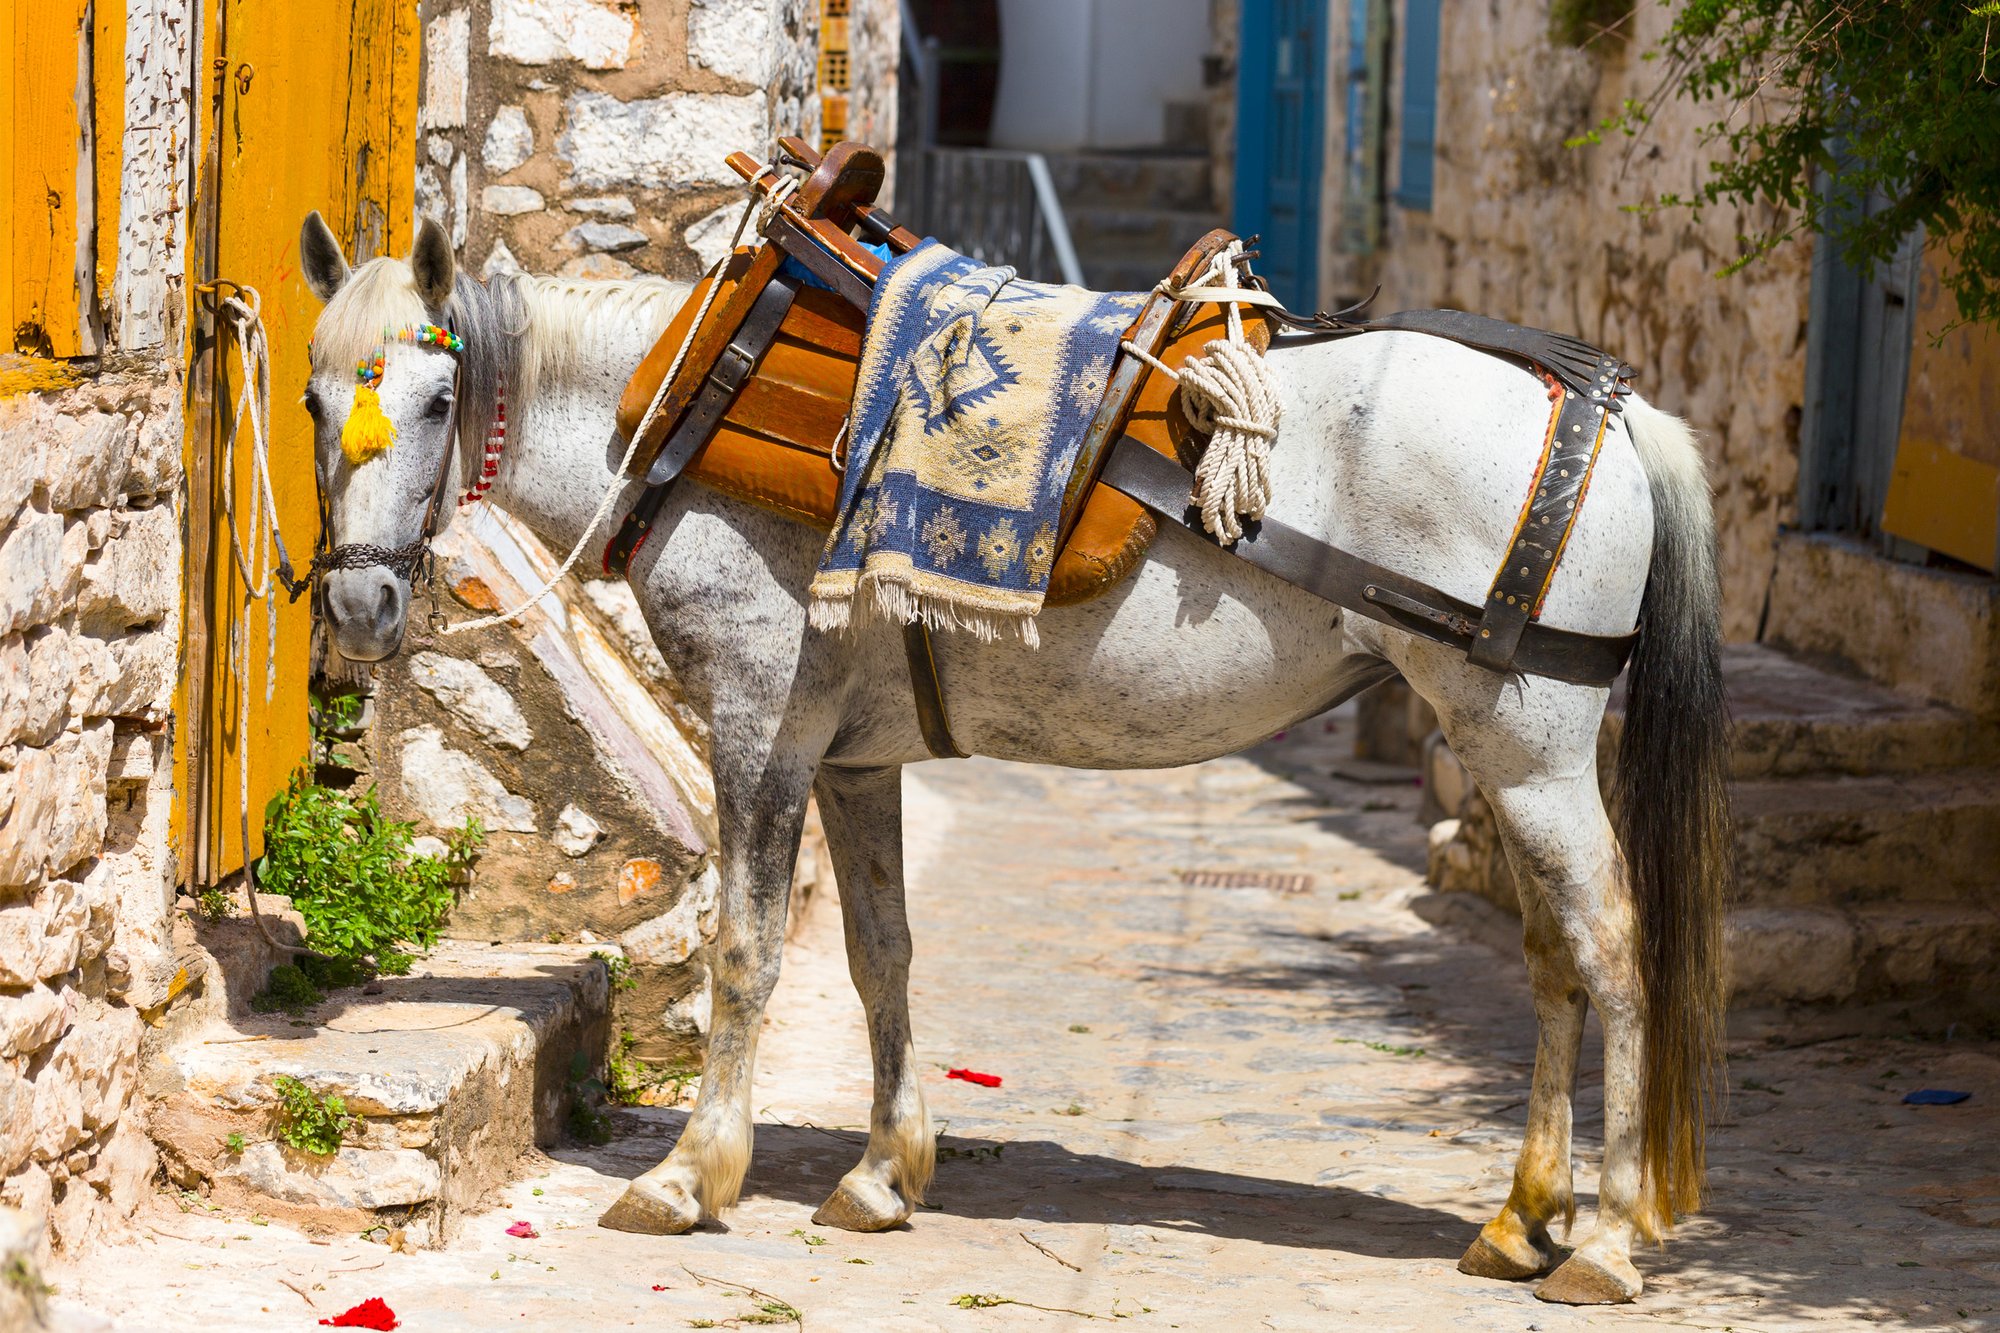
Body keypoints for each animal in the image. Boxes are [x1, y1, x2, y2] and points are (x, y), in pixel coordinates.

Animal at [300, 213, 1736, 1304]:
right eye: (315, 397)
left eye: (439, 397)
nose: (361, 605)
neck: (685, 399)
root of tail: (1612, 413)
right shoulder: (854, 756)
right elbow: (880, 950)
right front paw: (882, 1171)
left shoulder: (761, 729)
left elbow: (747, 952)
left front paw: (690, 1173)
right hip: (1493, 748)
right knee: (1551, 956)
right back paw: (1523, 1214)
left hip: (1530, 751)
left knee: (1613, 949)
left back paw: (1606, 1239)